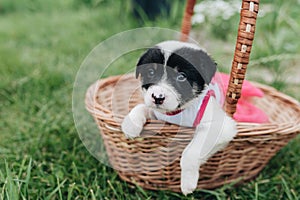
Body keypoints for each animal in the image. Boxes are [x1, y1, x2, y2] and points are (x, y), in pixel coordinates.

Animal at [121, 39, 237, 195]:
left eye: (181, 76)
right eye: (151, 72)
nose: (157, 97)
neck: (178, 111)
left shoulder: (220, 125)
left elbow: (190, 152)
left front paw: (187, 183)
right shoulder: (158, 115)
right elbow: (143, 107)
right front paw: (130, 124)